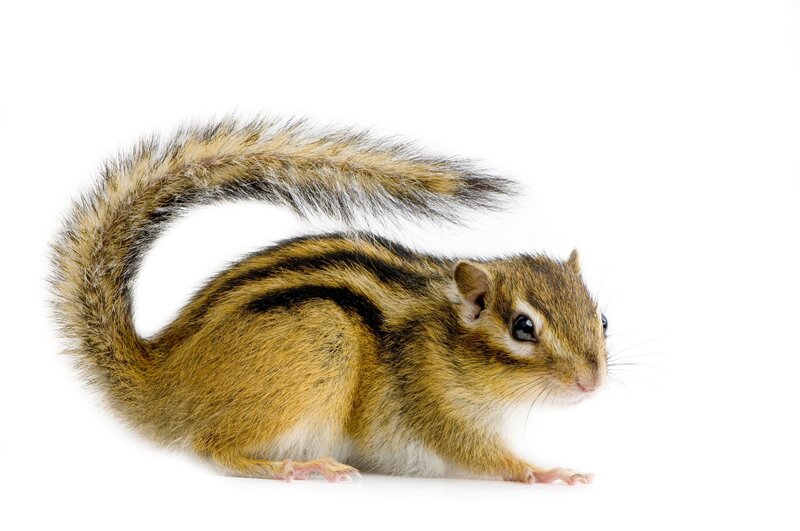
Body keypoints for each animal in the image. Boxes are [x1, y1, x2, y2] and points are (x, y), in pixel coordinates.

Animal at [51, 117, 608, 484]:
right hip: (320, 340)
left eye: (602, 319)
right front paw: (548, 472)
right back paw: (298, 466)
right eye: (523, 327)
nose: (593, 382)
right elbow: (484, 456)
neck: (448, 342)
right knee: (215, 448)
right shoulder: (433, 401)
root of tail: (163, 373)